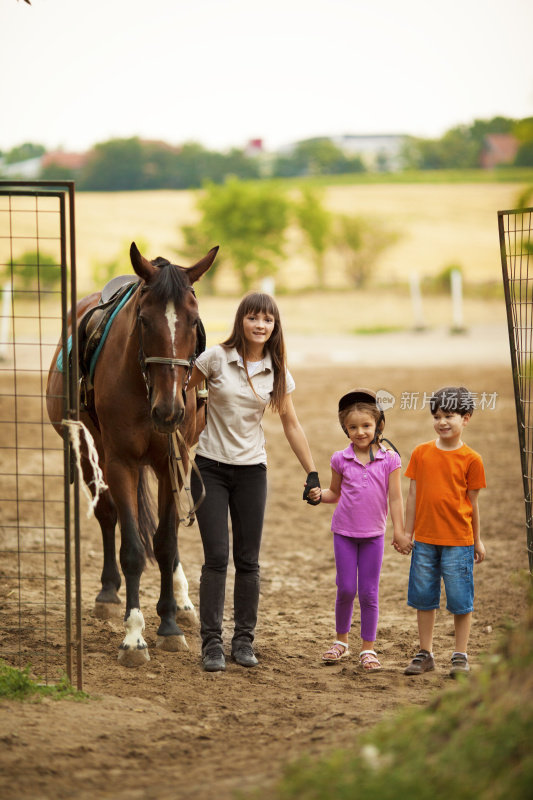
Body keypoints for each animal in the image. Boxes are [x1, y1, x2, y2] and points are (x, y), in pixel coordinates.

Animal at [46, 241, 217, 664]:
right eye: (143, 320)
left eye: (194, 322)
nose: (169, 411)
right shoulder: (120, 462)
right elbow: (133, 550)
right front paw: (134, 636)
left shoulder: (172, 462)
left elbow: (166, 542)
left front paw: (169, 625)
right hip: (90, 454)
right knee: (110, 517)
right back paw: (108, 594)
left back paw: (183, 602)